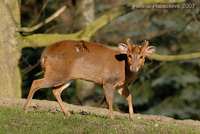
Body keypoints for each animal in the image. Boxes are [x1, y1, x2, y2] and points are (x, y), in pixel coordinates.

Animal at [23, 38, 155, 119]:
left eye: (142, 56)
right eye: (129, 55)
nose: (134, 68)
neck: (124, 70)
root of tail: (43, 56)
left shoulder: (121, 84)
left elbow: (129, 96)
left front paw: (131, 117)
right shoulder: (108, 80)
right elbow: (110, 99)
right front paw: (111, 117)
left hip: (66, 76)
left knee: (55, 90)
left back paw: (68, 114)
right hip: (56, 73)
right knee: (36, 82)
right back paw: (25, 109)